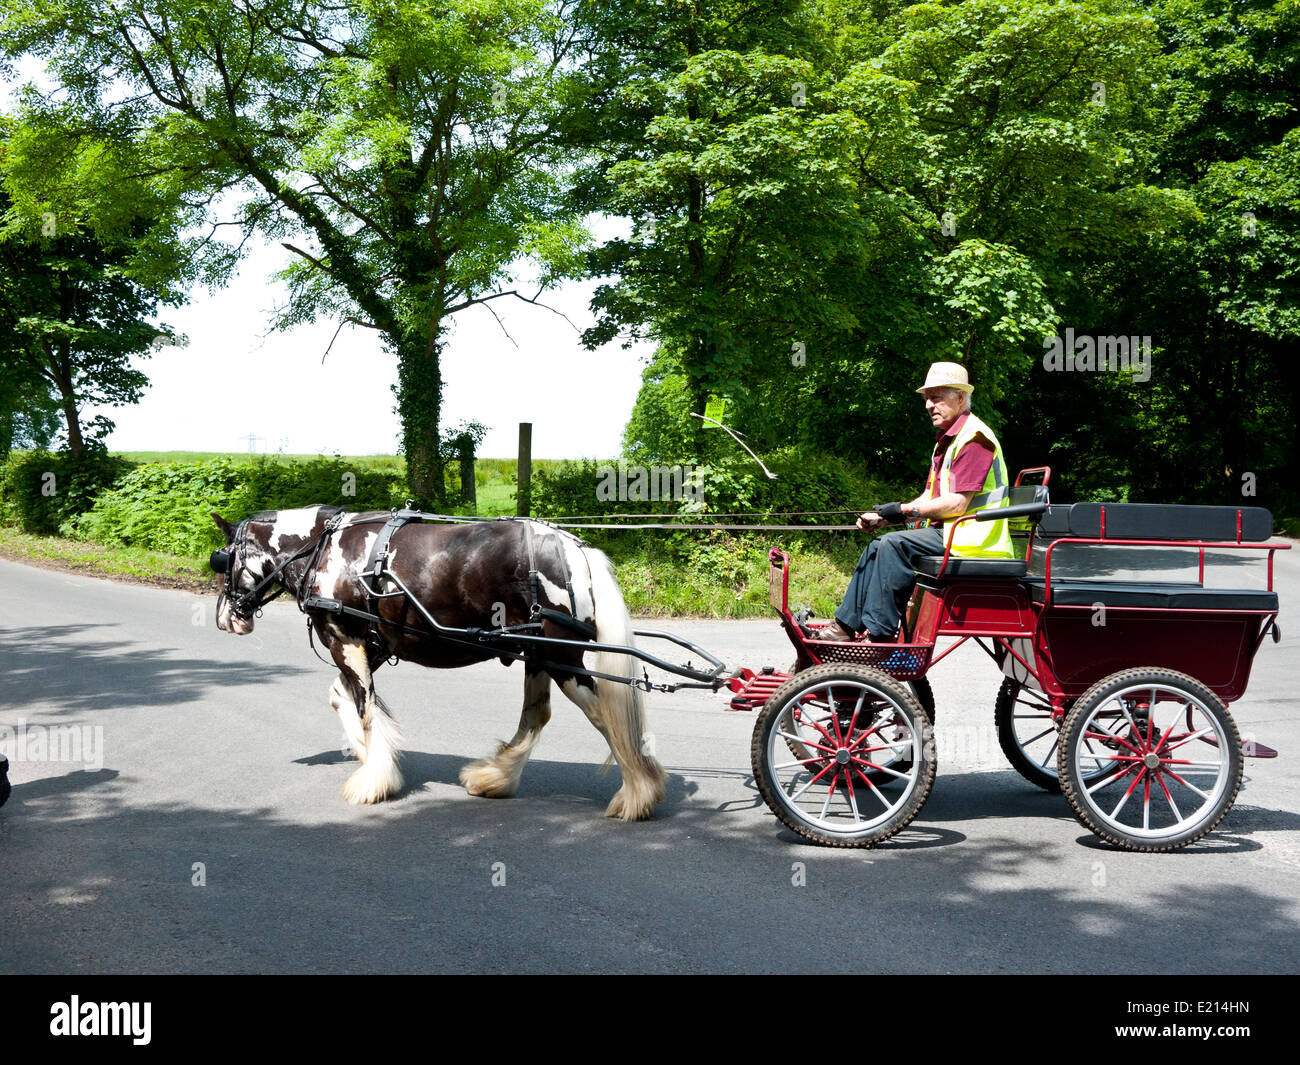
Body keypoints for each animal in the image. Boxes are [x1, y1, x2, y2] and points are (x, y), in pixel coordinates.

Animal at [209, 506, 667, 820]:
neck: (323, 549)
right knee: (537, 715)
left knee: (607, 717)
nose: (224, 618)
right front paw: (369, 755)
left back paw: (638, 795)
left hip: (561, 657)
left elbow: (365, 707)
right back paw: (494, 778)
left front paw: (373, 779)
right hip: (536, 651)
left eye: (223, 560)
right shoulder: (372, 644)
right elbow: (344, 697)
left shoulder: (346, 640)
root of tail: (575, 549)